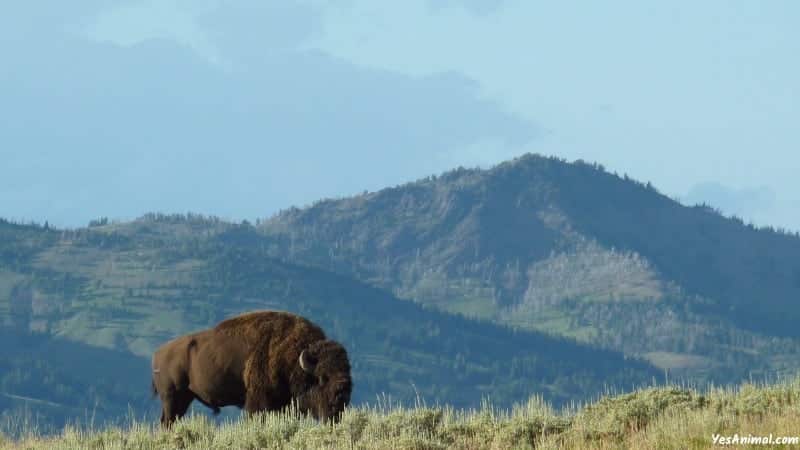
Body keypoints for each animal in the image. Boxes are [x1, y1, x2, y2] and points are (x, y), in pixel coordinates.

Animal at [150, 312, 350, 428]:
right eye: (322, 377)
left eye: (347, 370)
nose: (343, 390)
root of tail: (158, 353)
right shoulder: (258, 403)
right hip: (172, 398)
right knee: (167, 422)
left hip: (184, 399)